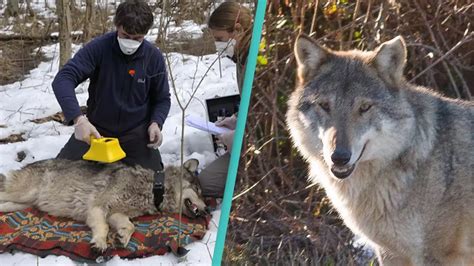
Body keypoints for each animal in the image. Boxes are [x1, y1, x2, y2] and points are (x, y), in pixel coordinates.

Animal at [0, 158, 207, 251]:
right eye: (198, 191)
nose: (207, 210)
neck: (153, 188)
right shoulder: (97, 207)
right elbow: (104, 227)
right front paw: (100, 243)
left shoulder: (115, 213)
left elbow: (130, 226)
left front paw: (122, 238)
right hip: (23, 193)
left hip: (21, 203)